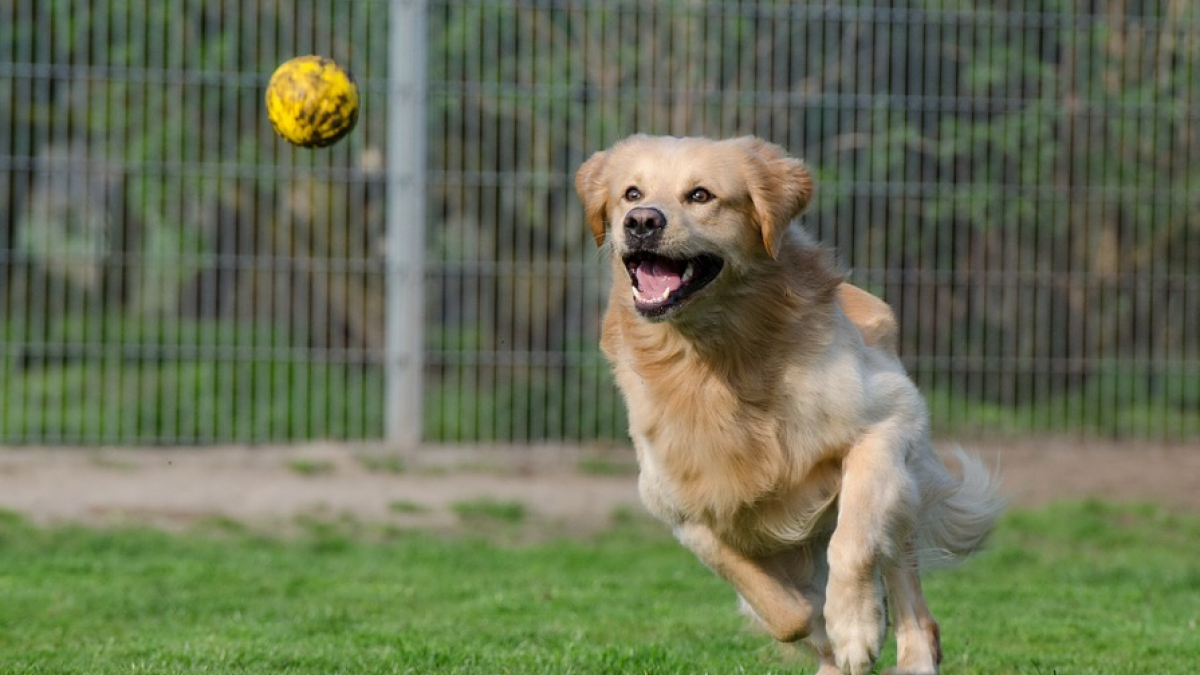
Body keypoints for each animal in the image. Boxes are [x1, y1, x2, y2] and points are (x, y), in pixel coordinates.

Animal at [571, 135, 1003, 672]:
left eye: (700, 195)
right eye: (632, 193)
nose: (642, 221)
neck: (717, 359)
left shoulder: (885, 424)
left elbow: (854, 542)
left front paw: (854, 626)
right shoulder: (680, 507)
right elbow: (781, 608)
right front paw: (823, 625)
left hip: (903, 488)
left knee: (910, 598)